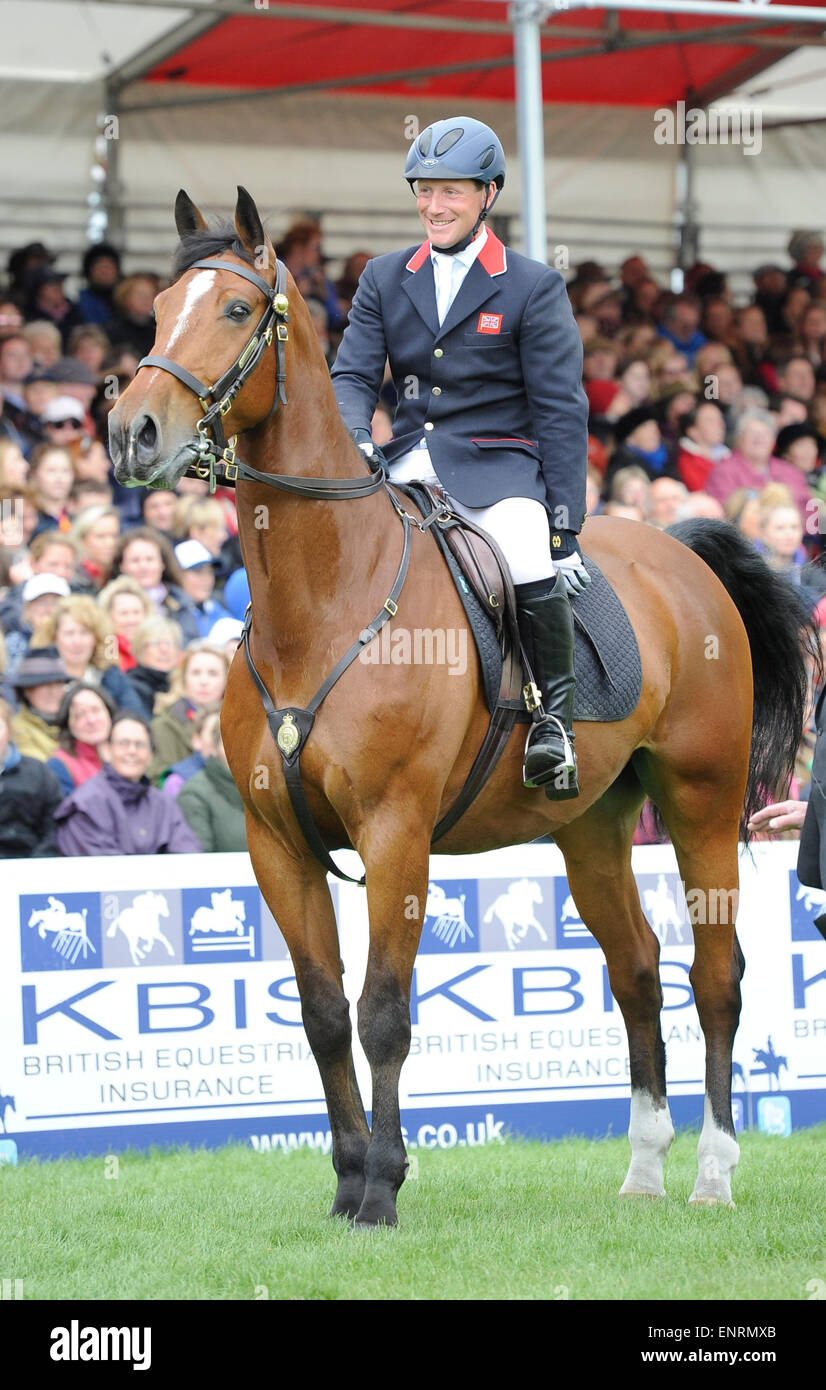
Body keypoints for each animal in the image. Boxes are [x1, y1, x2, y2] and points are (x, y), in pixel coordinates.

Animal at [112, 187, 812, 1228]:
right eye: (157, 310)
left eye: (236, 311)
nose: (134, 434)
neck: (324, 602)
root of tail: (681, 553)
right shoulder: (277, 844)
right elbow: (323, 1014)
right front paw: (347, 1181)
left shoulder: (396, 830)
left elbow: (383, 1012)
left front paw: (383, 1189)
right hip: (590, 824)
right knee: (636, 969)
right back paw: (644, 1168)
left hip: (701, 800)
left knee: (714, 974)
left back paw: (712, 1172)